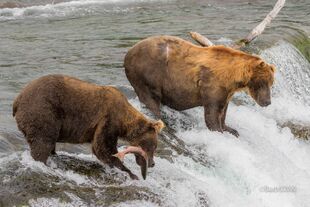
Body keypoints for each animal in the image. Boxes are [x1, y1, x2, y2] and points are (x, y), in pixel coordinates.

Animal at [12, 75, 165, 180]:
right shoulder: (108, 120)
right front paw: (130, 173)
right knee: (43, 142)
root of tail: (18, 99)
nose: (152, 163)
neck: (123, 120)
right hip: (43, 110)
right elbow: (103, 148)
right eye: (152, 146)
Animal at [123, 35, 274, 137]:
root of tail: (128, 53)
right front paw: (218, 131)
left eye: (271, 83)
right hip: (147, 73)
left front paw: (230, 129)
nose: (267, 102)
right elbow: (212, 113)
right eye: (263, 83)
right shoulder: (212, 84)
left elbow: (223, 110)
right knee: (150, 100)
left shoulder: (227, 91)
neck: (233, 77)